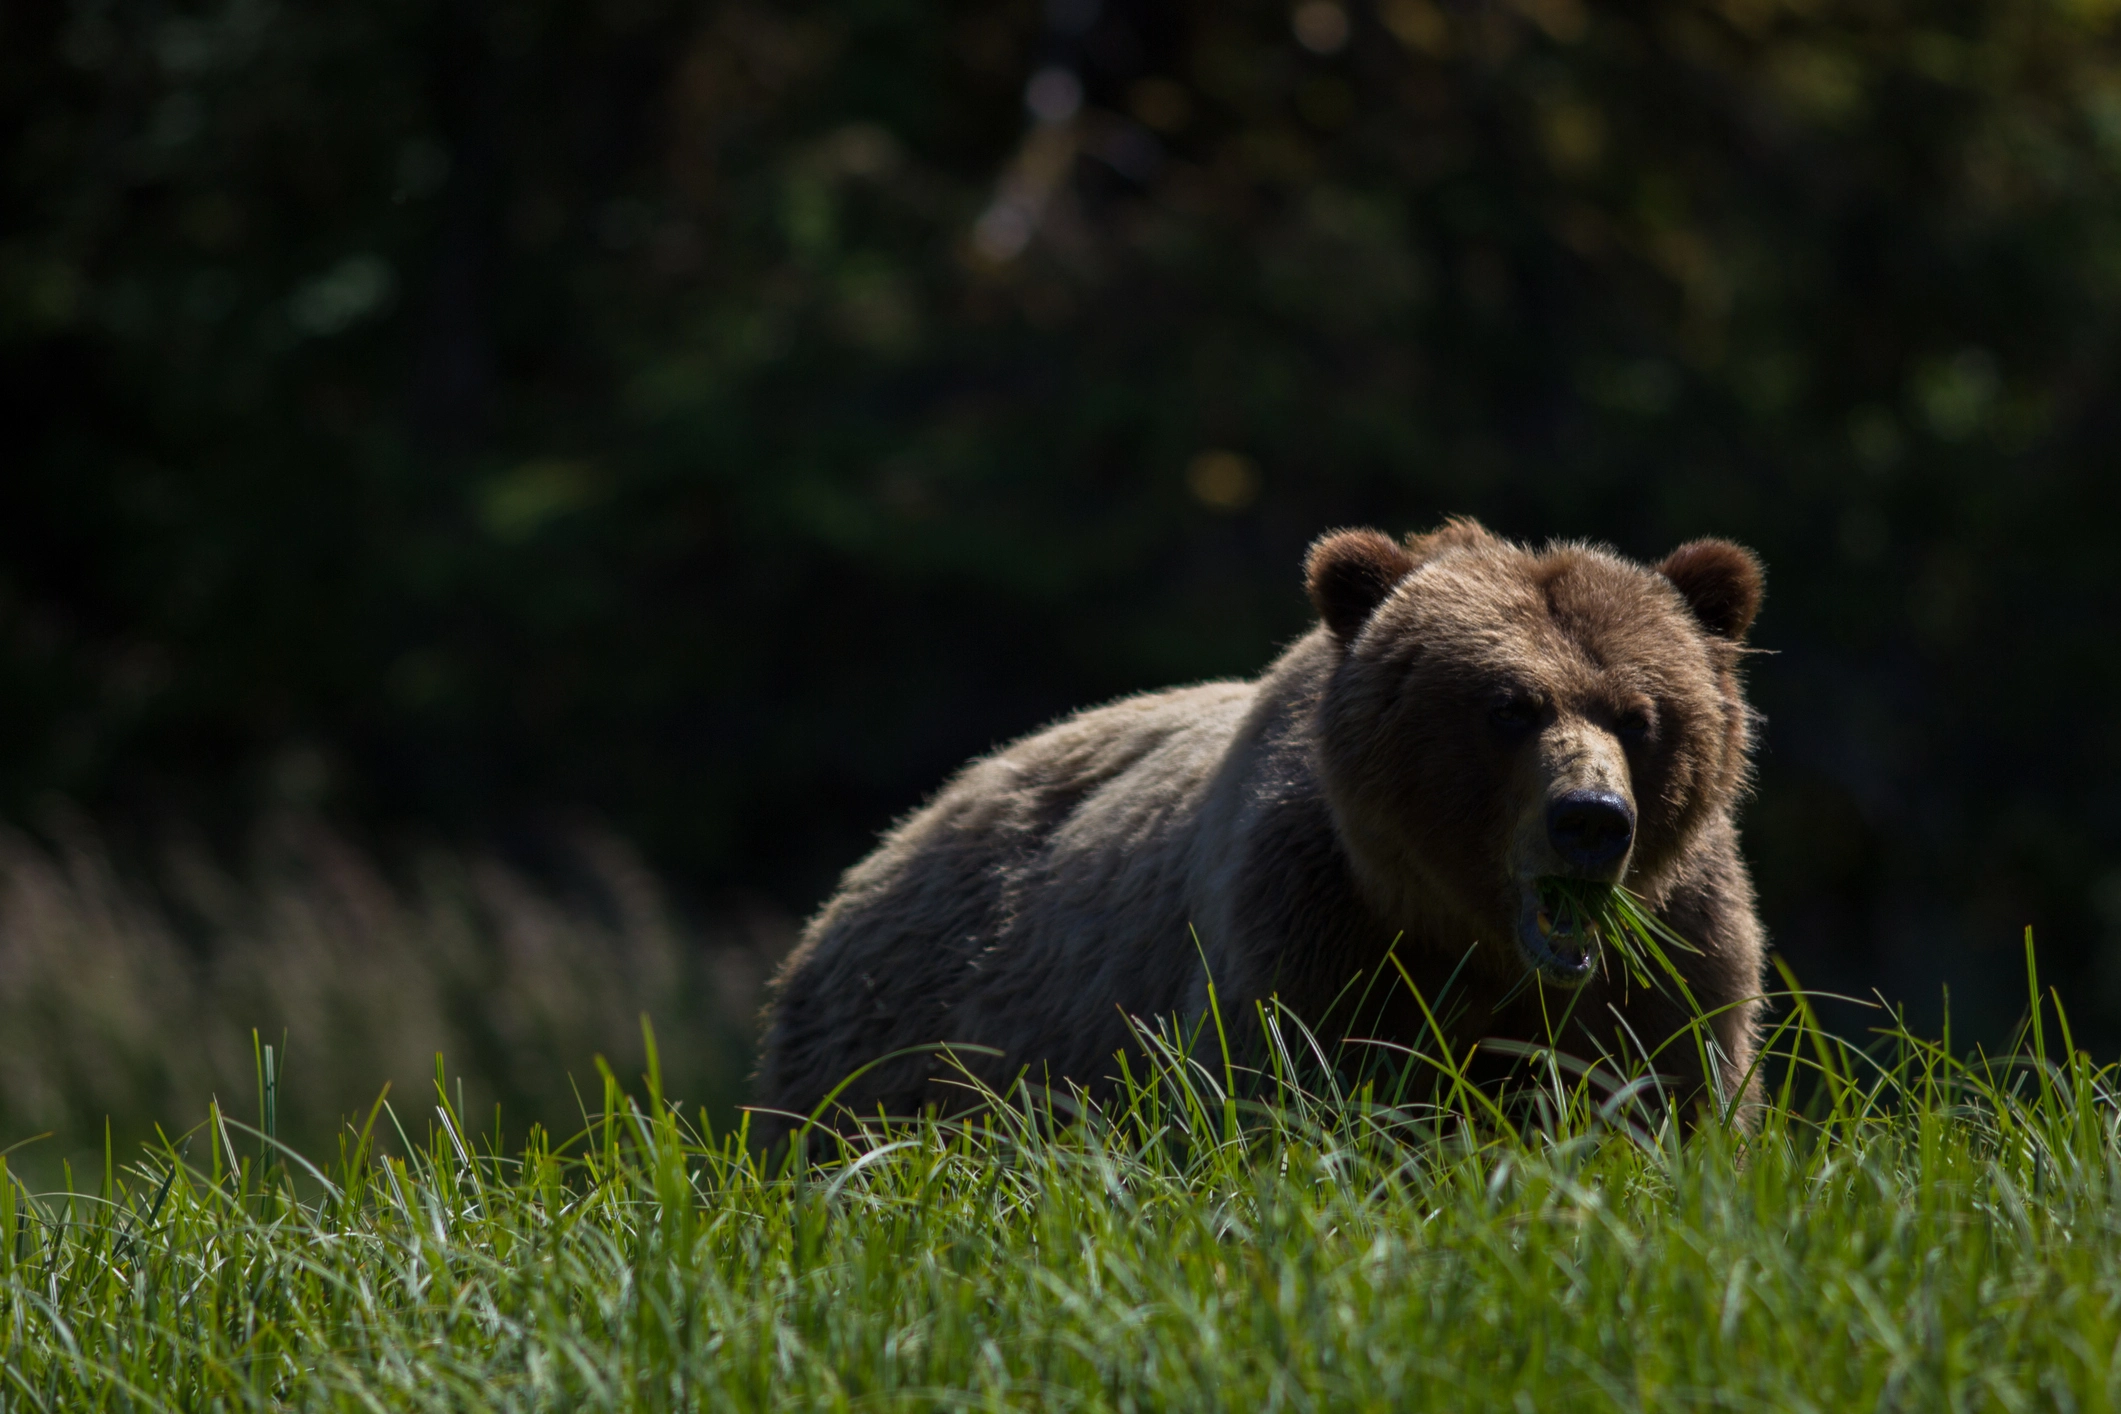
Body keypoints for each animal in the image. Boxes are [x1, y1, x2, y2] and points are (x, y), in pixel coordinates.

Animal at [757, 519, 1768, 1140]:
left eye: (1638, 715)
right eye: (1507, 707)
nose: (1590, 819)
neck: (1475, 946)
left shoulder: (1670, 962)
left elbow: (1662, 1098)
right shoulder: (1312, 941)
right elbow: (1294, 1103)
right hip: (896, 1056)